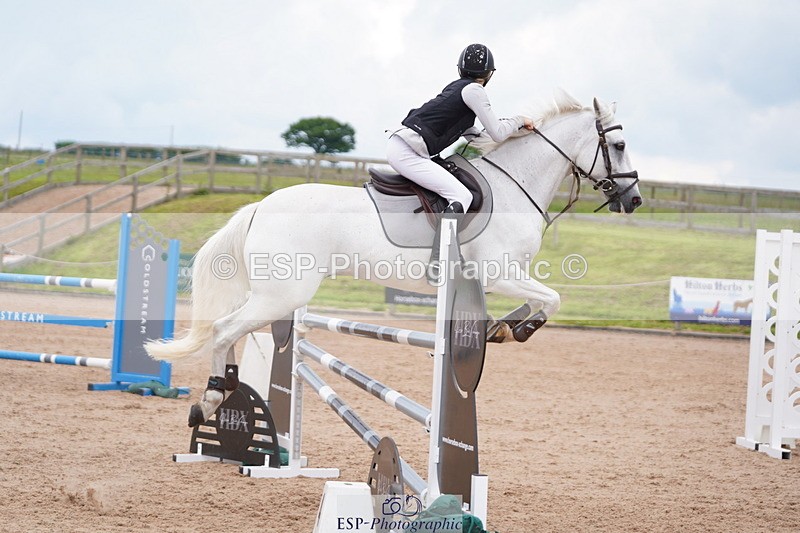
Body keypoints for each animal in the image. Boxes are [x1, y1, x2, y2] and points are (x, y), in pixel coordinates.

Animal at [145, 89, 643, 426]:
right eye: (618, 146)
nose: (634, 199)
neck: (513, 184)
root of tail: (259, 206)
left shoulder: (502, 277)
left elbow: (541, 299)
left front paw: (501, 328)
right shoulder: (498, 272)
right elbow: (552, 299)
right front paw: (517, 329)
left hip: (276, 295)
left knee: (228, 332)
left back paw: (221, 392)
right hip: (281, 295)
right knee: (224, 330)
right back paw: (211, 398)